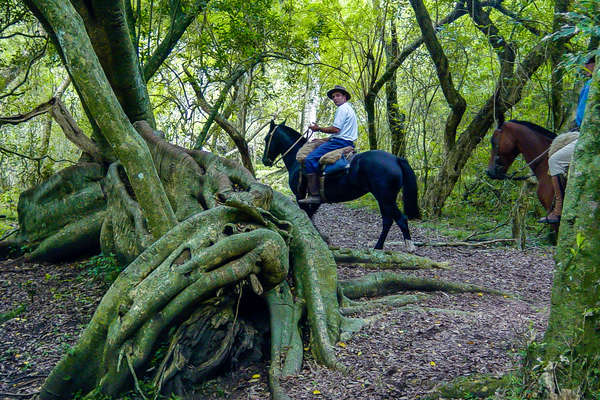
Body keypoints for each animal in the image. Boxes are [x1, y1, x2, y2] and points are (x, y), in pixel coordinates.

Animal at [260, 120, 420, 248]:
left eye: (267, 138)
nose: (265, 161)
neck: (296, 159)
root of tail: (396, 159)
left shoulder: (300, 195)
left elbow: (307, 215)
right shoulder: (316, 199)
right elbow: (311, 215)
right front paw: (323, 238)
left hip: (385, 198)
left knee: (398, 219)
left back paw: (405, 247)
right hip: (384, 198)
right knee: (389, 220)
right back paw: (380, 247)